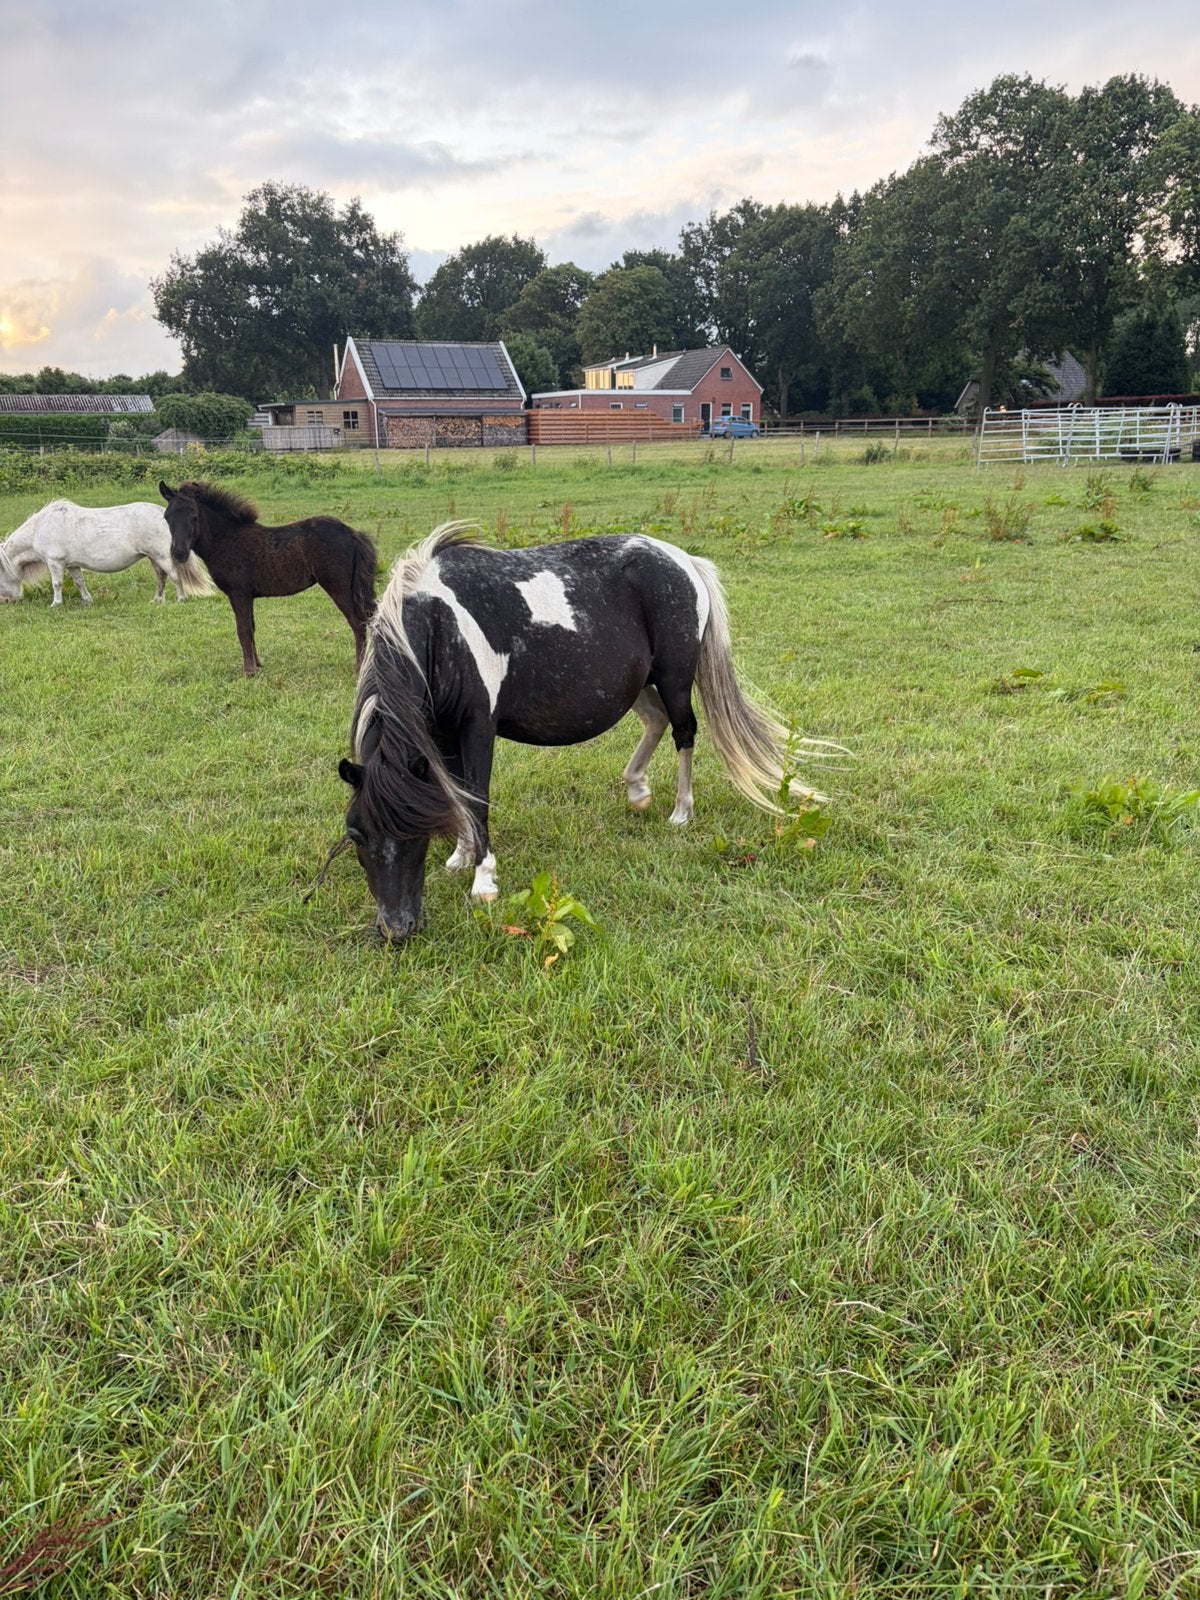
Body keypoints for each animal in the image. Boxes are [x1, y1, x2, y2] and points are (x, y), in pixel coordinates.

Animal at [0, 499, 215, 606]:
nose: (7, 601)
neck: (41, 528)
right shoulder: (72, 564)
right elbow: (79, 582)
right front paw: (87, 601)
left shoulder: (55, 562)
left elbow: (56, 584)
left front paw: (56, 604)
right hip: (154, 557)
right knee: (161, 578)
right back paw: (156, 600)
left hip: (162, 556)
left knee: (174, 576)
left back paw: (180, 599)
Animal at [159, 480, 377, 676]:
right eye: (167, 517)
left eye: (194, 517)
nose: (179, 553)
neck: (226, 540)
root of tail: (351, 532)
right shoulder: (248, 596)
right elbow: (251, 628)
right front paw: (257, 665)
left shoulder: (238, 594)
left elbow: (243, 630)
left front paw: (249, 672)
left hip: (338, 587)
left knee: (357, 623)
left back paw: (359, 669)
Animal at [338, 523, 839, 939]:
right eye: (357, 835)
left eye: (414, 833)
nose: (396, 928)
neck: (441, 626)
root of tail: (683, 561)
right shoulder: (439, 734)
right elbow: (453, 793)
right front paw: (461, 857)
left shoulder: (477, 725)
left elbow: (476, 797)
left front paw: (484, 879)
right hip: (638, 683)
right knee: (656, 722)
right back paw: (637, 789)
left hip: (674, 678)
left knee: (684, 731)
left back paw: (681, 811)